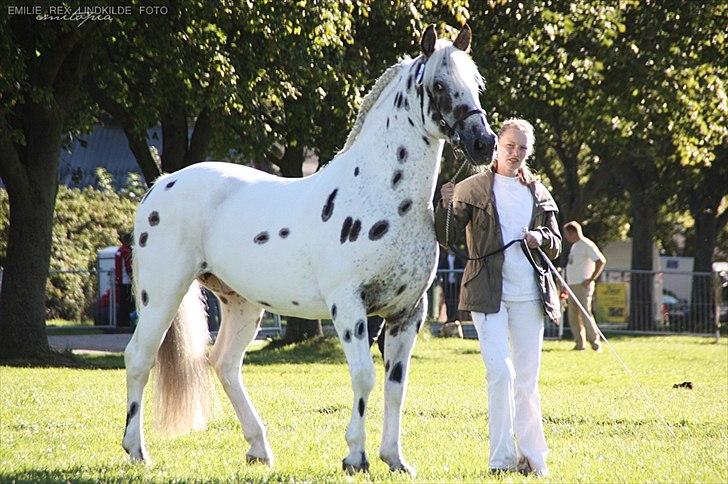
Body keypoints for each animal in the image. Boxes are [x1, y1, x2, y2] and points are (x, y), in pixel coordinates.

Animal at [122, 24, 498, 474]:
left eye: (476, 83)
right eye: (439, 85)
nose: (484, 144)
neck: (380, 193)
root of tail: (162, 183)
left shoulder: (408, 313)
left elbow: (396, 385)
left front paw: (394, 459)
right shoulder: (349, 307)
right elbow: (363, 376)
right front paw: (355, 456)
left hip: (242, 303)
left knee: (224, 363)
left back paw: (259, 448)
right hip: (163, 295)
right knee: (139, 358)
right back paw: (137, 451)